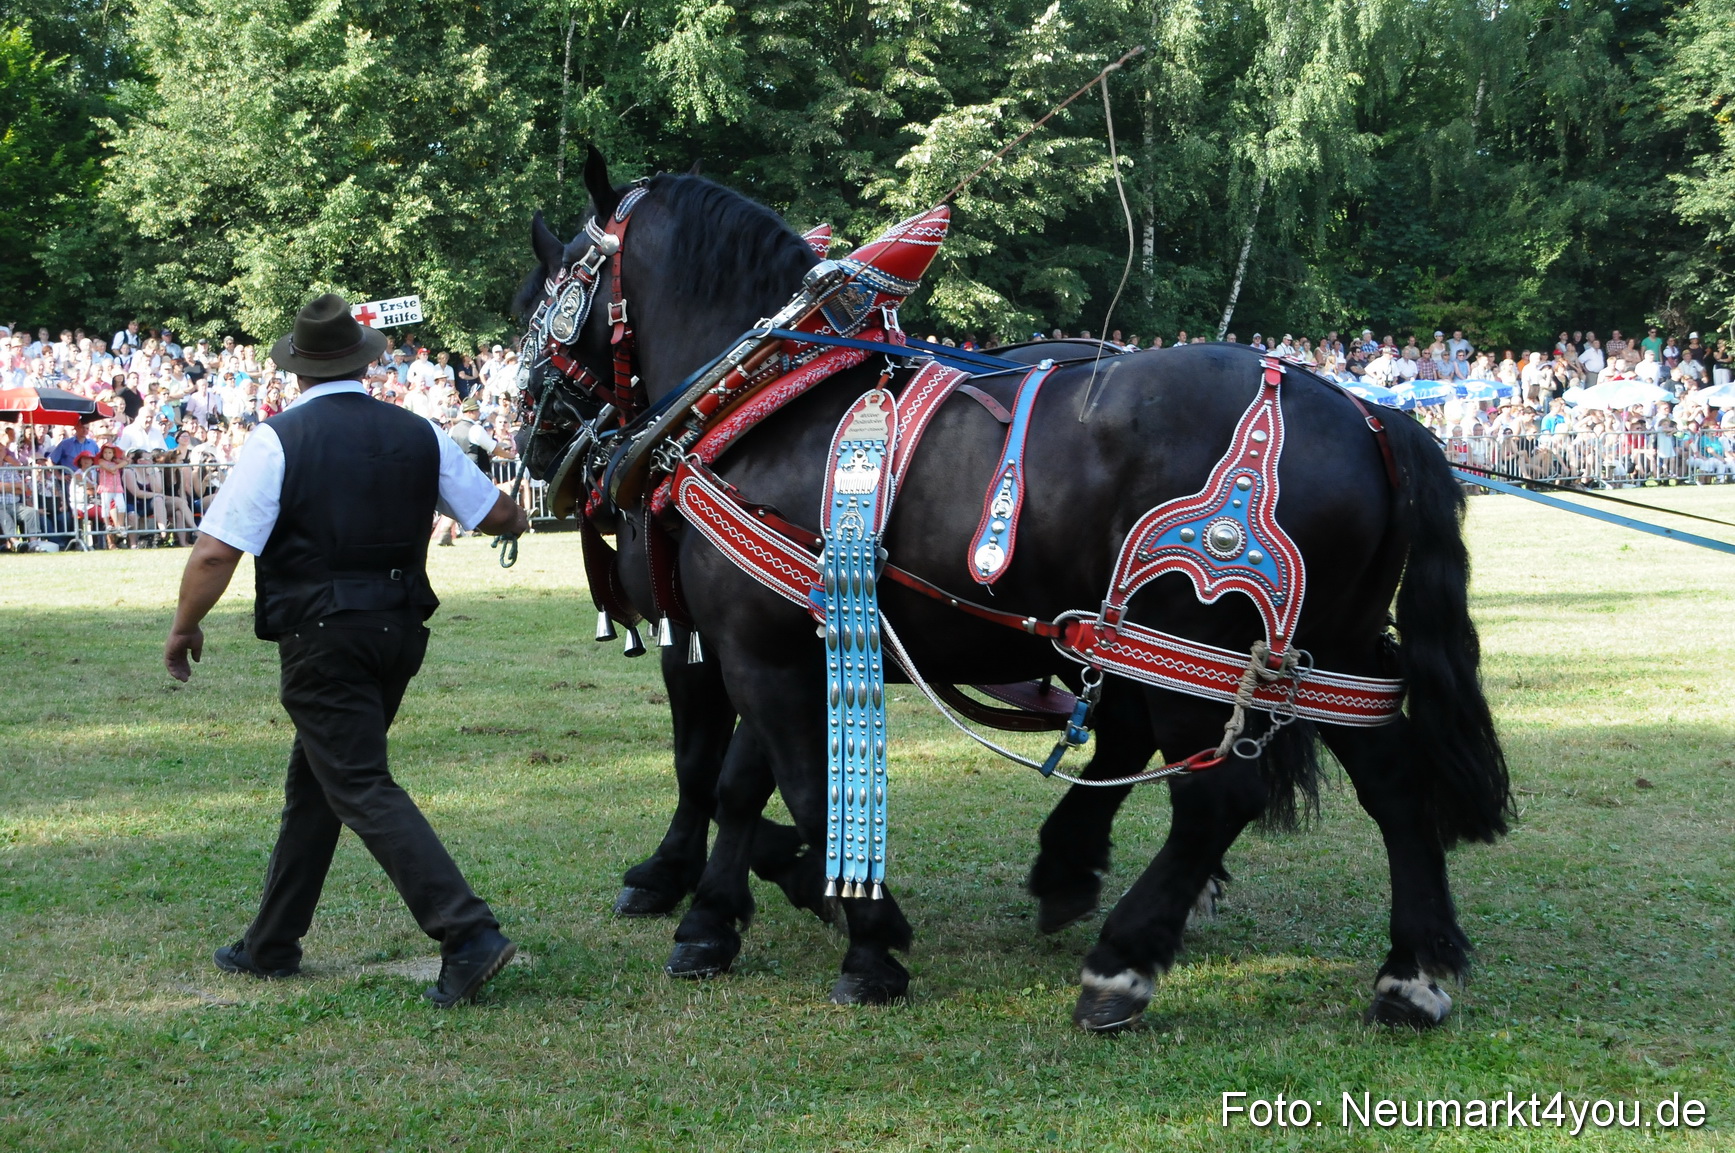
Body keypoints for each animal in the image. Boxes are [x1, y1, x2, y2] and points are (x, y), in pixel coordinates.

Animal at [516, 148, 1510, 1031]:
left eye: (546, 296)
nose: (530, 433)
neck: (760, 403)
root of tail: (1366, 410)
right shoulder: (782, 638)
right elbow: (745, 781)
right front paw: (732, 909)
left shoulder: (747, 647)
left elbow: (767, 779)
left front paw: (858, 930)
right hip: (1324, 645)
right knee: (1390, 777)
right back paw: (1409, 969)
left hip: (1194, 640)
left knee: (1214, 795)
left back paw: (1120, 960)